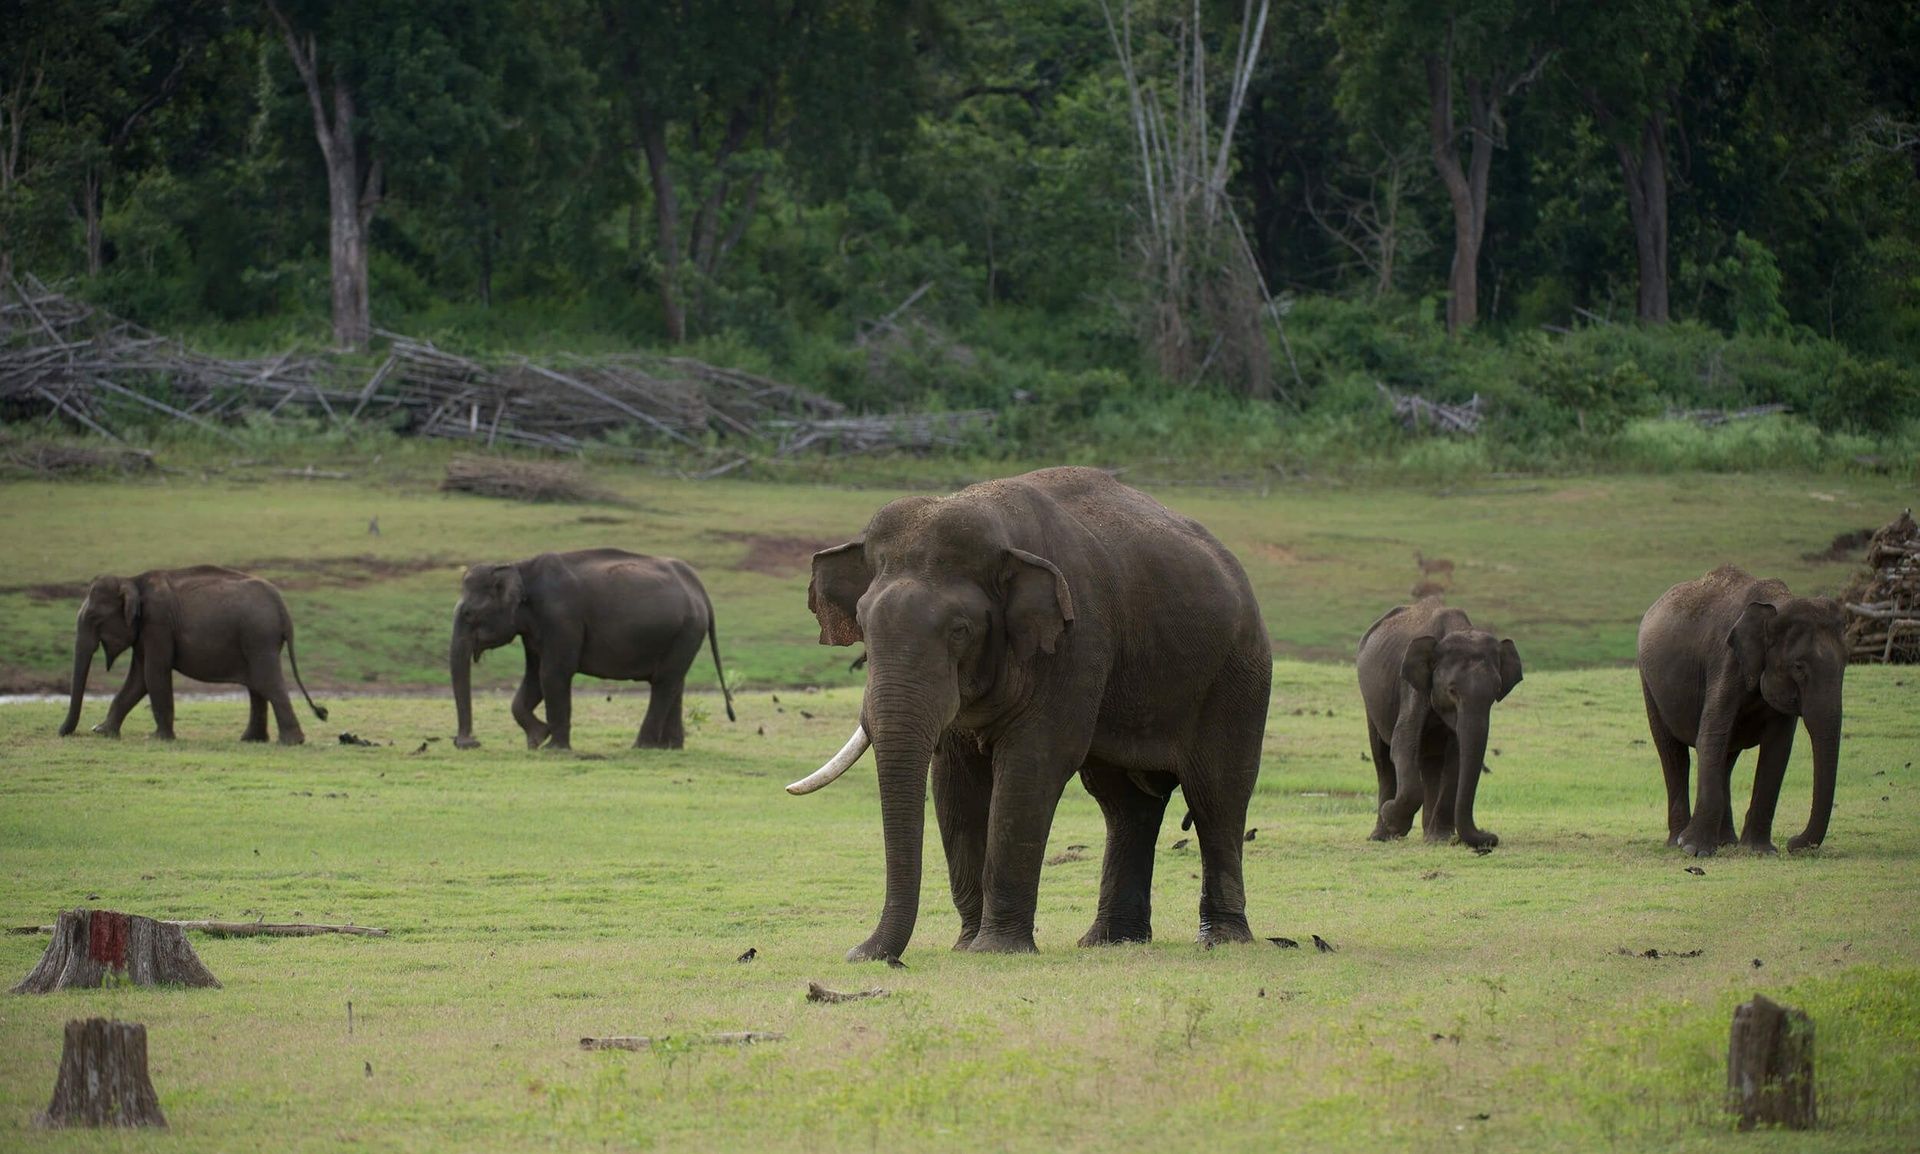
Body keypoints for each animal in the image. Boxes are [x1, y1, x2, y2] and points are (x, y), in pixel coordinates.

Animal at [58, 566, 328, 744]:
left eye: (94, 618)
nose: (64, 732)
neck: (132, 580)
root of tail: (283, 609)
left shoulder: (158, 623)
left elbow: (154, 673)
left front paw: (157, 739)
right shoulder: (146, 630)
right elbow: (139, 679)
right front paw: (103, 732)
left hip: (259, 636)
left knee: (267, 682)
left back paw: (290, 742)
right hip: (255, 639)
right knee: (257, 686)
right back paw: (252, 740)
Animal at [450, 549, 735, 751]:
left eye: (468, 614)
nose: (469, 742)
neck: (519, 567)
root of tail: (699, 588)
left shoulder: (561, 619)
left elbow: (552, 673)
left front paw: (552, 748)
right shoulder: (535, 631)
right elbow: (534, 678)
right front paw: (537, 739)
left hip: (687, 630)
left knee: (664, 682)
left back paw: (641, 747)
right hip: (682, 634)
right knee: (676, 681)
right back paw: (670, 748)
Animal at [789, 466, 1271, 960]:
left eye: (960, 630)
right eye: (863, 624)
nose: (860, 954)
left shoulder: (1076, 641)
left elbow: (1033, 764)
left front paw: (993, 950)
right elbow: (954, 781)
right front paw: (967, 946)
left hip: (1238, 674)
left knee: (1217, 794)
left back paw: (1221, 939)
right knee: (1125, 805)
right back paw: (1109, 941)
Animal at [1356, 600, 1522, 849]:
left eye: (1497, 690)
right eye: (1452, 690)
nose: (1490, 837)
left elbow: (1456, 757)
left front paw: (1441, 839)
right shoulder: (1412, 686)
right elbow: (1402, 744)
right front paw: (1394, 820)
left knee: (1431, 764)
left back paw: (1429, 836)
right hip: (1371, 701)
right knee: (1382, 757)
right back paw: (1381, 835)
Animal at [1637, 565, 1845, 857]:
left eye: (1846, 664)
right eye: (1798, 667)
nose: (1794, 843)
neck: (1778, 603)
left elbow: (1778, 749)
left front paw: (1760, 851)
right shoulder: (1726, 660)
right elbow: (1710, 737)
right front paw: (1694, 850)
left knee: (1726, 758)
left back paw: (1726, 842)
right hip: (1649, 683)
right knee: (1673, 753)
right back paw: (1677, 840)